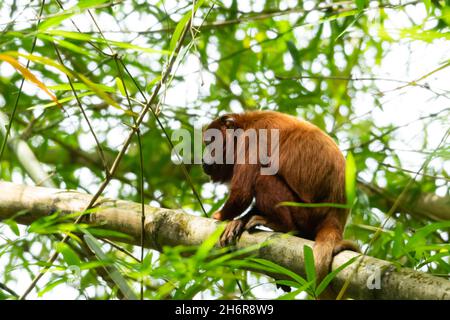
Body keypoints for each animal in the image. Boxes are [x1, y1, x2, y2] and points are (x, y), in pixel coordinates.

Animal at [202, 110, 356, 298]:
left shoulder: (251, 140)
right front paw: (238, 222)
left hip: (306, 214)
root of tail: (335, 218)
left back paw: (282, 225)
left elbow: (242, 193)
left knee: (263, 177)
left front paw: (220, 216)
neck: (245, 125)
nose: (204, 159)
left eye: (210, 142)